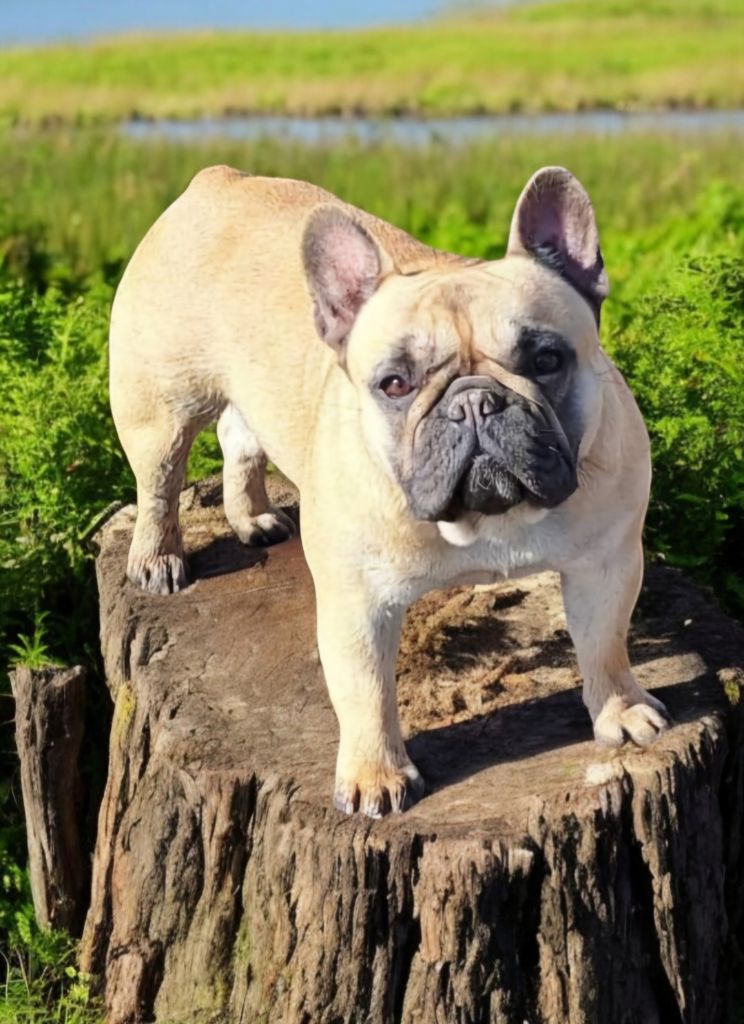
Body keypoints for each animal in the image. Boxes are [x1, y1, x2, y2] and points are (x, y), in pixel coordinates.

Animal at [112, 163, 675, 819]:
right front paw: (374, 775)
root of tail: (219, 179)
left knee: (238, 433)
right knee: (160, 479)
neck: (489, 521)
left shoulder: (605, 566)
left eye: (545, 360)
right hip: (158, 405)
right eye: (395, 384)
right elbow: (366, 691)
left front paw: (620, 710)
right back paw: (158, 558)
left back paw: (253, 518)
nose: (474, 402)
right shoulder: (357, 603)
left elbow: (604, 642)